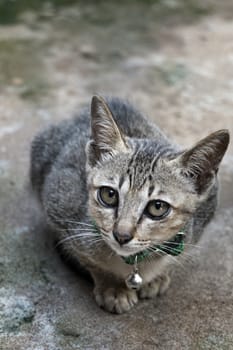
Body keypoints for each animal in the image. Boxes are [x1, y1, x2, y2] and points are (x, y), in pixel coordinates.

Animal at [30, 95, 229, 314]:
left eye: (157, 207)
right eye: (109, 195)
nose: (121, 236)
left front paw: (157, 276)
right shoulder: (59, 204)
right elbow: (90, 260)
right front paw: (113, 286)